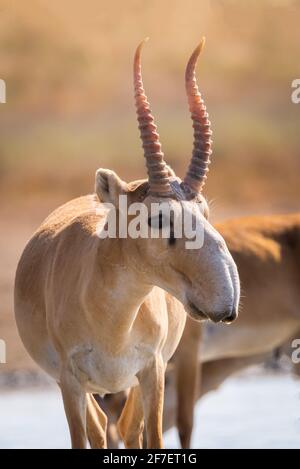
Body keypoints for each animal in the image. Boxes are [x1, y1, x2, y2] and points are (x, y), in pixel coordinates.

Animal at [14, 38, 240, 448]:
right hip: (83, 388)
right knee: (101, 428)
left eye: (204, 210)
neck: (112, 323)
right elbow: (83, 437)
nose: (226, 295)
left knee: (128, 428)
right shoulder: (70, 383)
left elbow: (152, 436)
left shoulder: (153, 370)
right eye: (157, 217)